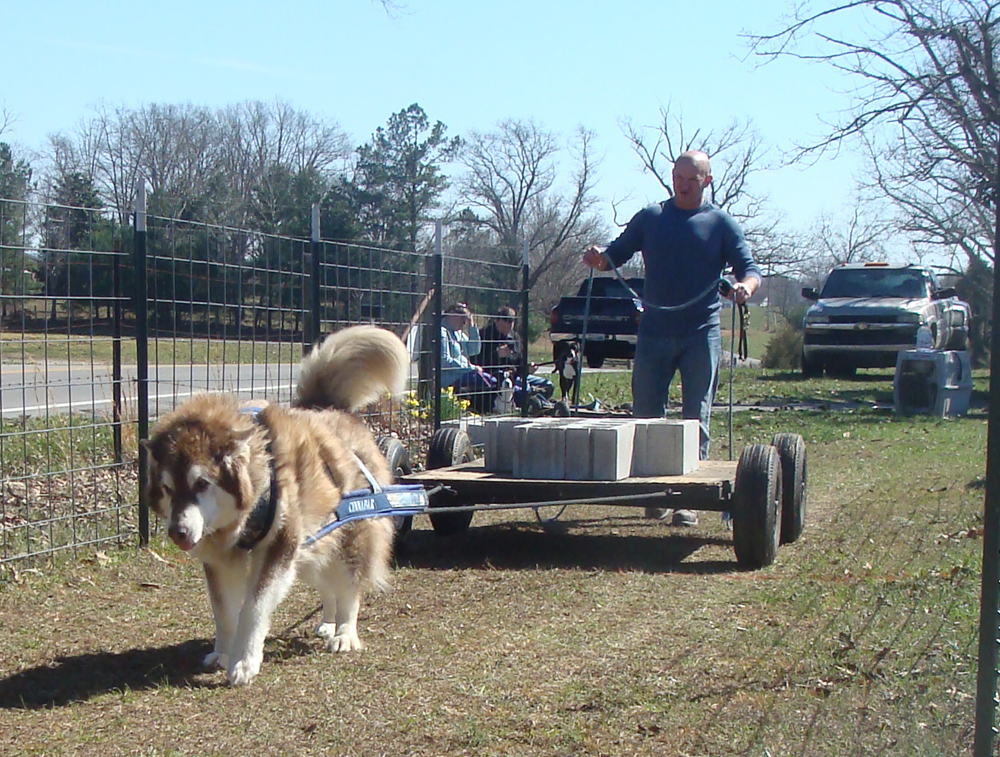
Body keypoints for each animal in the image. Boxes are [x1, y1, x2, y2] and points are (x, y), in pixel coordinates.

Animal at [141, 324, 406, 684]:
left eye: (201, 484)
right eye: (168, 489)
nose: (178, 532)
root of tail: (330, 410)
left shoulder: (278, 548)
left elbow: (253, 608)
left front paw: (245, 661)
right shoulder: (220, 560)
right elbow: (224, 610)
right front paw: (224, 652)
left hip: (349, 536)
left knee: (350, 586)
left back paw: (344, 632)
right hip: (313, 544)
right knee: (327, 585)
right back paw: (328, 622)